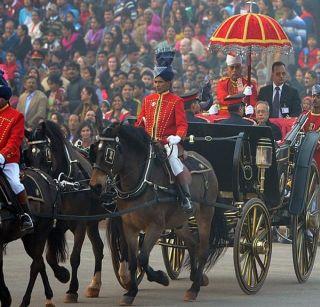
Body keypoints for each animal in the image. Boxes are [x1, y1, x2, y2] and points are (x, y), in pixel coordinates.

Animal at [0, 168, 69, 307]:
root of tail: (48, 179)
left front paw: (5, 298)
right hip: (29, 238)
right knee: (40, 261)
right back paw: (49, 294)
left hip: (40, 233)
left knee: (35, 265)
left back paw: (25, 301)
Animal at [25, 121, 105, 304]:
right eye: (28, 155)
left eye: (45, 154)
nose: (36, 181)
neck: (65, 184)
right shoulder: (54, 224)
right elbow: (49, 257)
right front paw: (62, 274)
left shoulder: (80, 223)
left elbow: (75, 257)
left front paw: (72, 290)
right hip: (93, 221)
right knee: (98, 247)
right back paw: (94, 286)